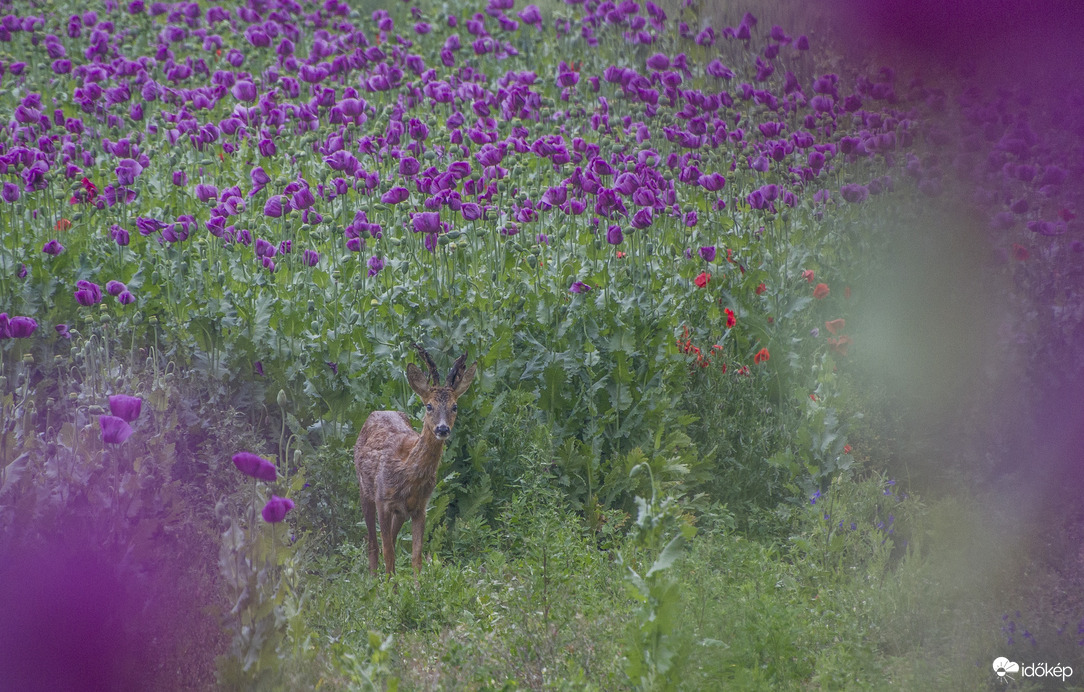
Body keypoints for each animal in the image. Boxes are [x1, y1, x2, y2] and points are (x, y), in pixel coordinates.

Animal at [353, 344, 476, 577]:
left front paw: (417, 586)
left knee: (390, 540)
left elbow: (416, 557)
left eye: (454, 406)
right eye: (429, 406)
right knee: (374, 543)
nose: (442, 429)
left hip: (401, 512)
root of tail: (378, 411)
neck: (408, 471)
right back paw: (373, 578)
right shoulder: (383, 500)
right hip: (364, 490)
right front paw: (388, 586)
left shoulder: (420, 507)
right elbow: (388, 552)